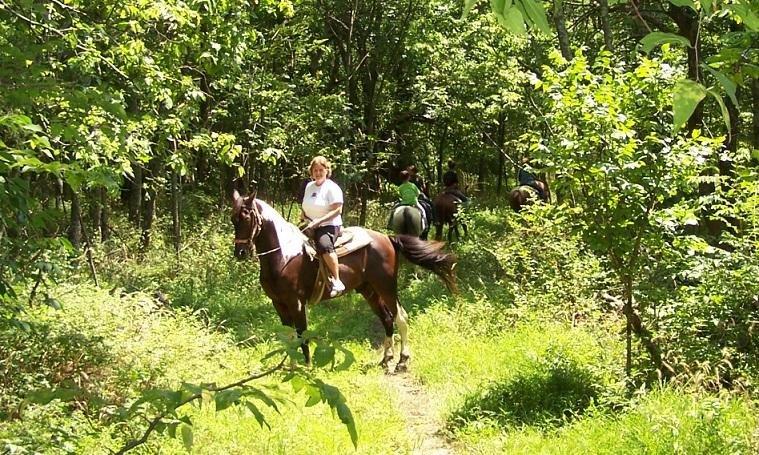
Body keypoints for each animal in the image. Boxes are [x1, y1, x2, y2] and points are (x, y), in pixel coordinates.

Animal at [232, 191, 458, 372]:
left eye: (247, 217)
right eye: (233, 219)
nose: (240, 253)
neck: (284, 255)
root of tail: (388, 238)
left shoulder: (296, 303)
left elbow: (301, 334)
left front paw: (306, 367)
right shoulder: (278, 304)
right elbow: (288, 336)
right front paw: (290, 366)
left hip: (386, 286)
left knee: (400, 317)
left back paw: (402, 361)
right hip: (369, 290)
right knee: (386, 318)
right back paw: (386, 358)